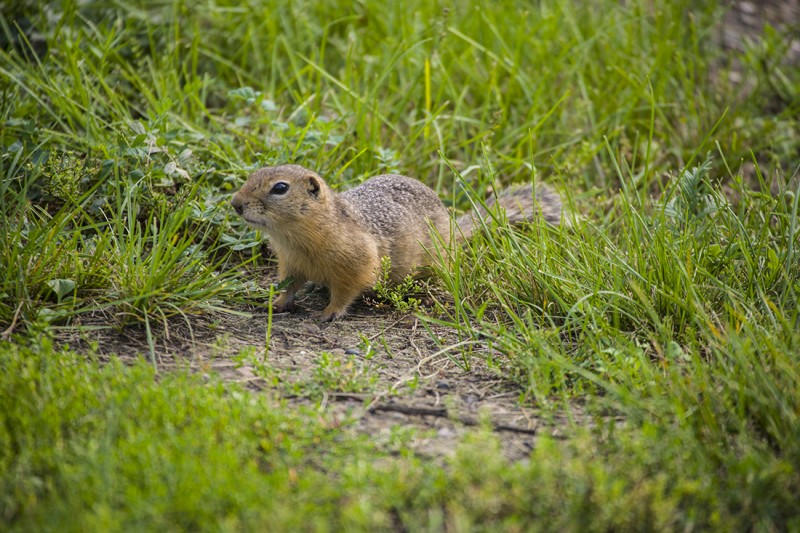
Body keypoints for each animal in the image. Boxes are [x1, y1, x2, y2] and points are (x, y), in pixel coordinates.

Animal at [231, 164, 564, 320]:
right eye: (252, 174)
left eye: (280, 188)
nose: (235, 203)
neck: (296, 237)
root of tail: (453, 226)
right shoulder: (291, 263)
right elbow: (290, 285)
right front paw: (275, 302)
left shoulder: (356, 261)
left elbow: (347, 290)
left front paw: (329, 312)